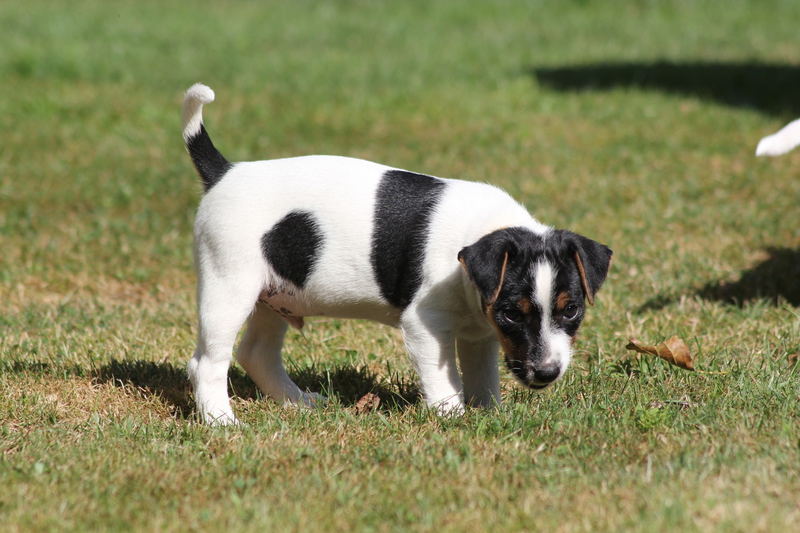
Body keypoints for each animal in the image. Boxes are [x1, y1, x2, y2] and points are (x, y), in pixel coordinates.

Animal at [181, 83, 612, 425]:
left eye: (571, 310)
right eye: (512, 314)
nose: (547, 373)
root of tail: (224, 172)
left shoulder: (479, 335)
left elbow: (482, 378)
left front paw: (489, 415)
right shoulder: (426, 325)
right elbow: (444, 380)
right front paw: (453, 417)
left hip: (273, 296)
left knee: (257, 354)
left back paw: (300, 403)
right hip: (229, 287)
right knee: (208, 362)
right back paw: (220, 420)